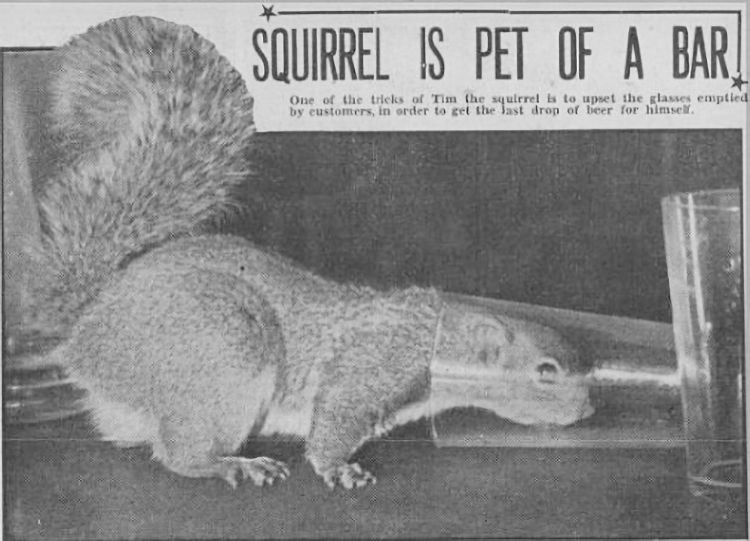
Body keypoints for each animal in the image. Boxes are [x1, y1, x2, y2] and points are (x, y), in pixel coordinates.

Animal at [21, 16, 594, 490]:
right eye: (546, 371)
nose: (589, 411)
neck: (436, 337)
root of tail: (89, 323)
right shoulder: (368, 368)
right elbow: (333, 422)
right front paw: (338, 469)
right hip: (223, 352)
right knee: (177, 453)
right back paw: (233, 464)